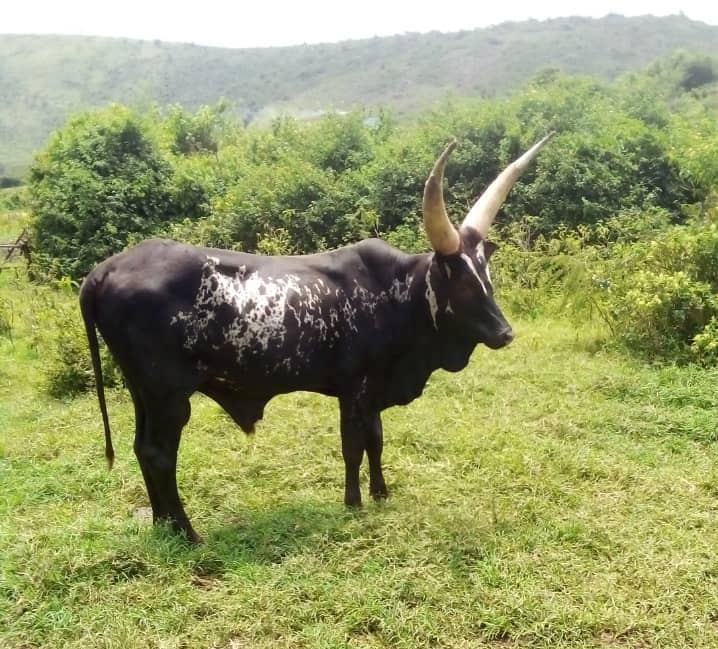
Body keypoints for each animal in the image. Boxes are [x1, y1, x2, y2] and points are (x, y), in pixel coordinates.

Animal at [80, 134, 554, 543]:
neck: (395, 294)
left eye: (486, 275)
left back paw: (164, 525)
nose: (505, 333)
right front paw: (353, 503)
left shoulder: (373, 389)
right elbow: (353, 446)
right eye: (459, 280)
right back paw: (188, 532)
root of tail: (106, 268)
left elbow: (377, 440)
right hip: (169, 395)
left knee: (143, 448)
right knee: (160, 453)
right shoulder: (354, 387)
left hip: (143, 392)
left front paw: (381, 494)